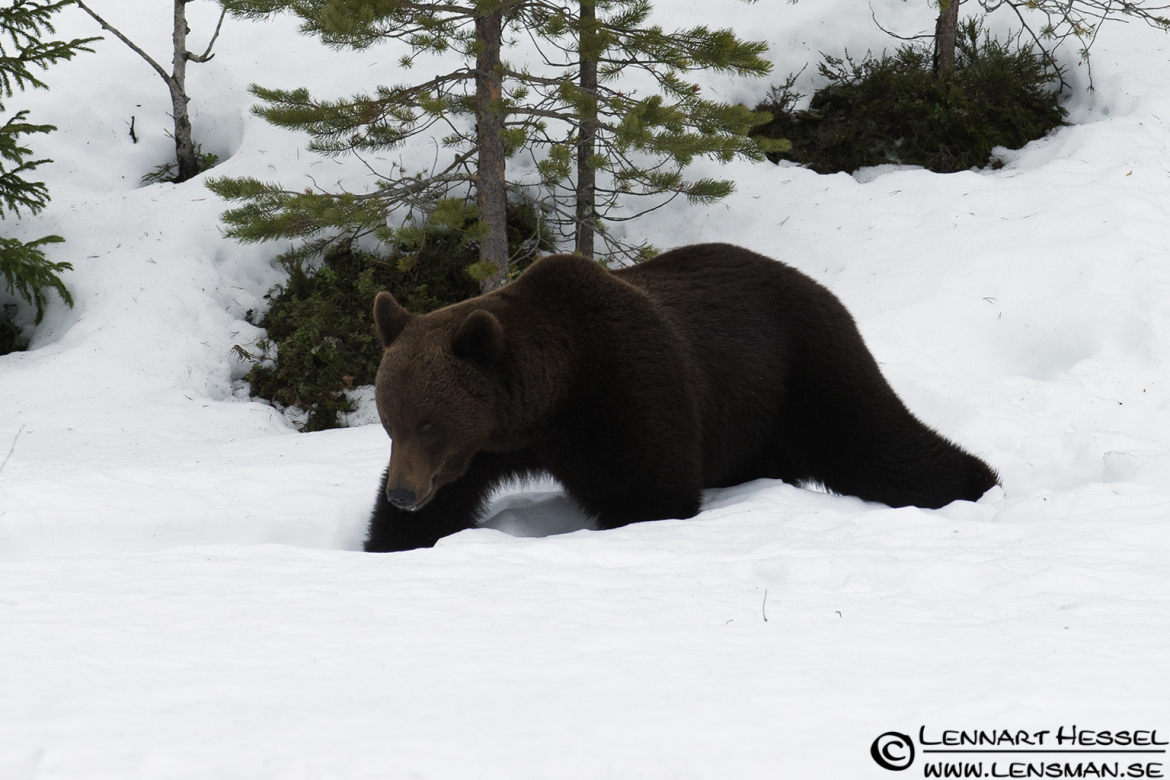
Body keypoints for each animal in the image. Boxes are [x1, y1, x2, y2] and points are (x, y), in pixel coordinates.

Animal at [364, 242, 998, 553]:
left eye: (427, 423)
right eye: (390, 423)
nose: (402, 493)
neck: (550, 400)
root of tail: (818, 285)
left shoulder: (626, 390)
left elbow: (650, 491)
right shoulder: (481, 448)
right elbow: (446, 501)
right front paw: (393, 540)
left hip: (805, 368)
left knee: (874, 437)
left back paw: (977, 482)